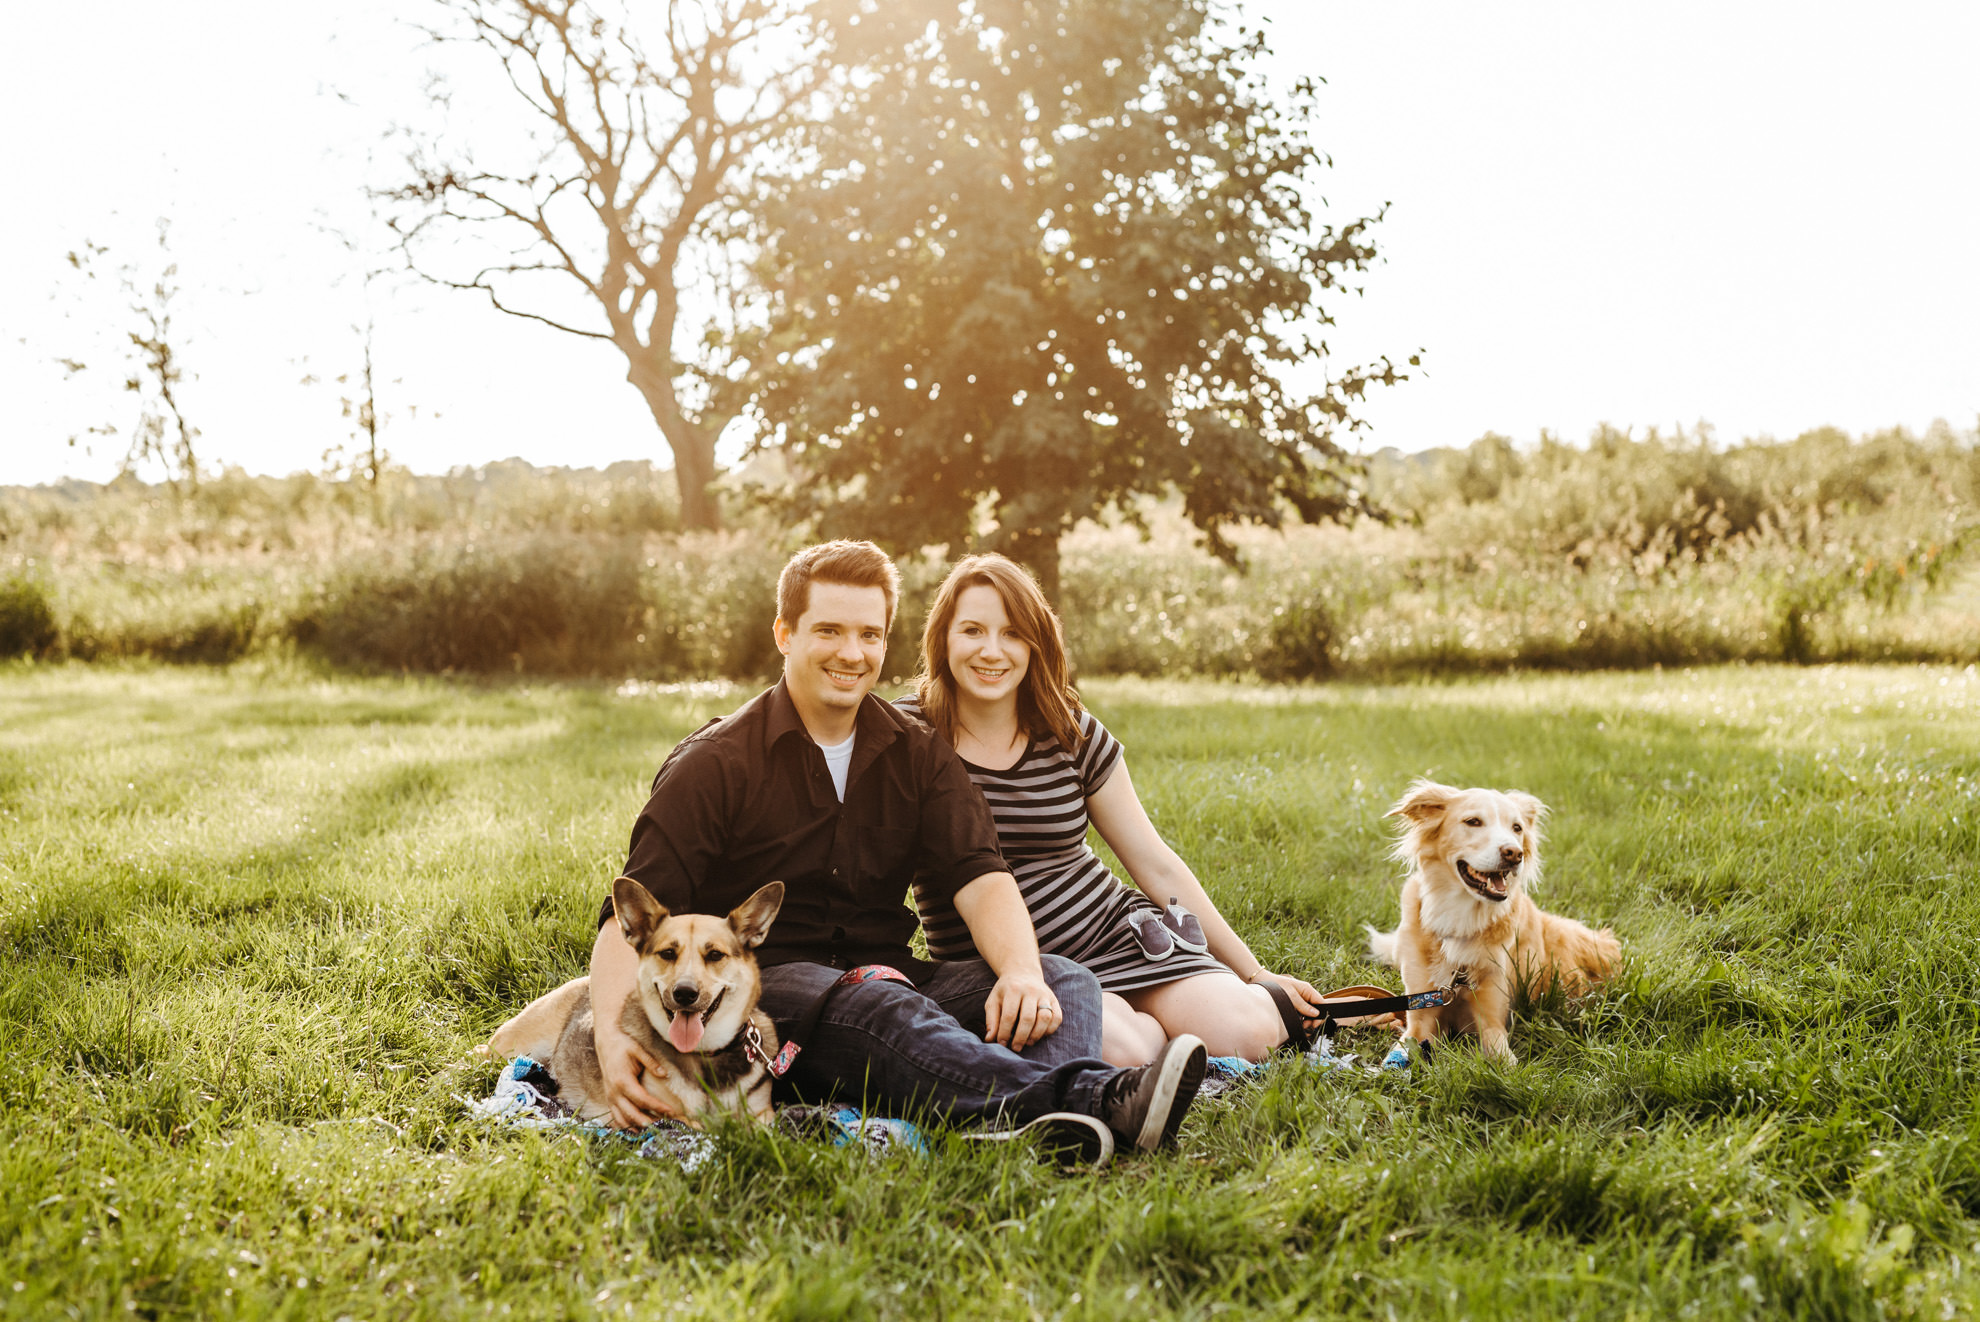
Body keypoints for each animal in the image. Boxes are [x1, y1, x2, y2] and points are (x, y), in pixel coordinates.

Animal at [483, 878, 784, 1124]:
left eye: (715, 955)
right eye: (667, 953)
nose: (684, 993)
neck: (704, 1055)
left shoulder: (763, 1113)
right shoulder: (654, 1114)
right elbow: (691, 1123)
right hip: (512, 1046)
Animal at [1370, 779, 1615, 1060]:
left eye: (1517, 828)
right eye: (1473, 821)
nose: (1514, 853)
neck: (1462, 919)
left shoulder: (1492, 1023)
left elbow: (1504, 1059)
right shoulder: (1422, 1016)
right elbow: (1398, 1054)